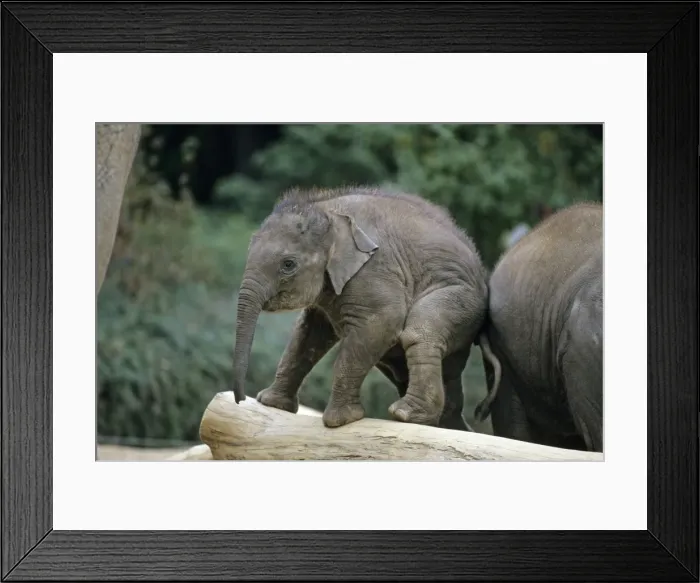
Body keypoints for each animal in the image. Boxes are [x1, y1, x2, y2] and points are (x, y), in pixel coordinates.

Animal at [230, 185, 498, 431]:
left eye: (288, 264)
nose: (240, 400)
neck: (327, 209)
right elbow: (307, 334)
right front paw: (271, 403)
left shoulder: (374, 269)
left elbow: (383, 321)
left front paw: (341, 421)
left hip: (462, 298)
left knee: (419, 333)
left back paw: (406, 415)